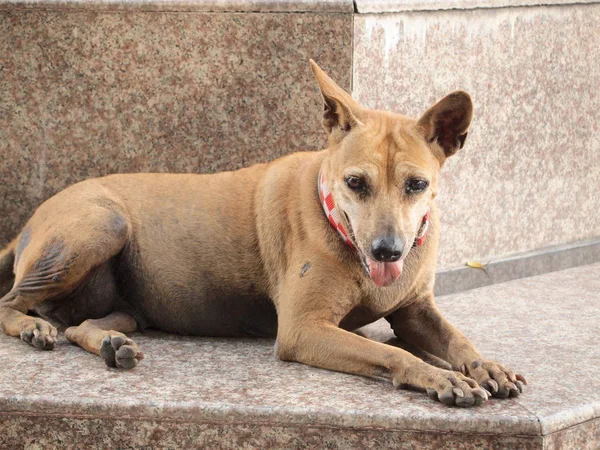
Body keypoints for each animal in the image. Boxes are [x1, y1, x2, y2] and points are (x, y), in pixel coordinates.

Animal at [0, 60, 524, 408]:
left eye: (417, 185)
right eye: (356, 183)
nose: (387, 250)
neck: (336, 221)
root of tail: (31, 221)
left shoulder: (415, 309)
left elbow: (456, 338)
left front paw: (485, 364)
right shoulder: (303, 329)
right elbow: (387, 351)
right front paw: (437, 376)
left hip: (126, 306)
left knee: (80, 325)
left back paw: (111, 345)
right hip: (99, 227)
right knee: (10, 302)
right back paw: (31, 327)